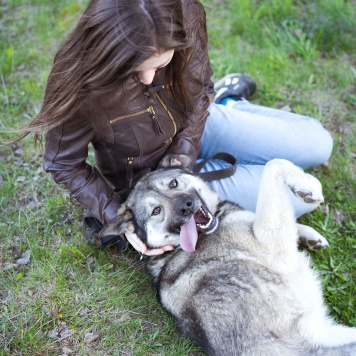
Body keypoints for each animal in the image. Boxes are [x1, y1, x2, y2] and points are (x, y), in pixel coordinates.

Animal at [100, 160, 356, 354]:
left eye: (173, 183)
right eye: (156, 211)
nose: (186, 206)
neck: (175, 248)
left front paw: (311, 235)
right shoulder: (273, 245)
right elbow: (274, 166)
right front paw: (308, 185)